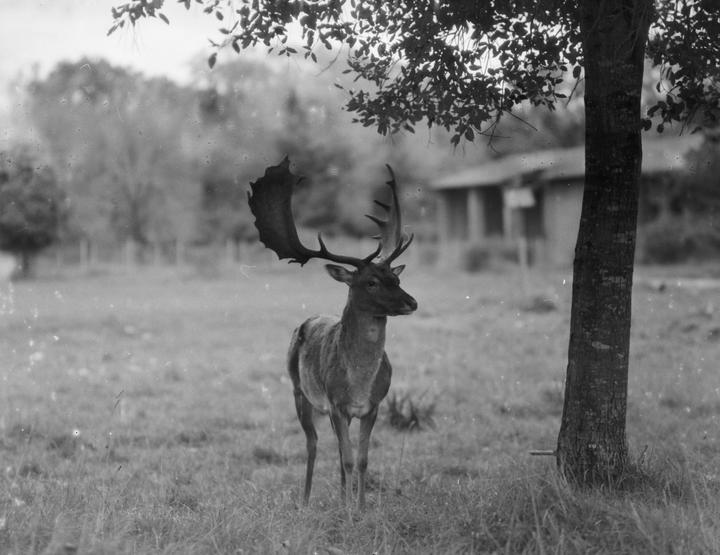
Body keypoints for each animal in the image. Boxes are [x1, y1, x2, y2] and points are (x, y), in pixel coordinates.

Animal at [247, 157, 417, 509]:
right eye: (370, 282)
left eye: (395, 278)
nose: (412, 302)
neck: (360, 382)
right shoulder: (336, 403)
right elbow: (347, 457)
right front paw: (350, 510)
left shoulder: (372, 405)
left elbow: (360, 459)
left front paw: (361, 508)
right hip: (300, 392)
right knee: (312, 445)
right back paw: (305, 500)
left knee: (338, 451)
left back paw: (341, 498)